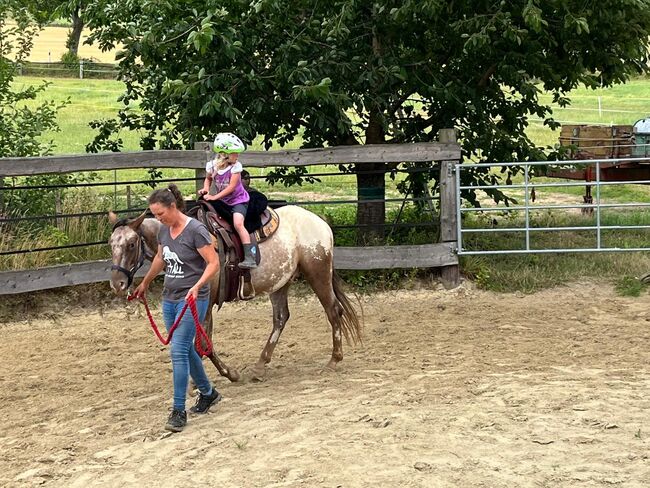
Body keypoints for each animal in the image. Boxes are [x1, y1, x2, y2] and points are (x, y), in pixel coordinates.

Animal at [106, 206, 360, 382]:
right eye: (110, 243)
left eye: (131, 243)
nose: (117, 283)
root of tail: (319, 221)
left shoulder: (205, 303)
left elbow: (203, 344)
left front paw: (229, 374)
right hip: (280, 282)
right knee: (281, 318)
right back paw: (260, 366)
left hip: (318, 273)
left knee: (333, 311)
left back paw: (333, 361)